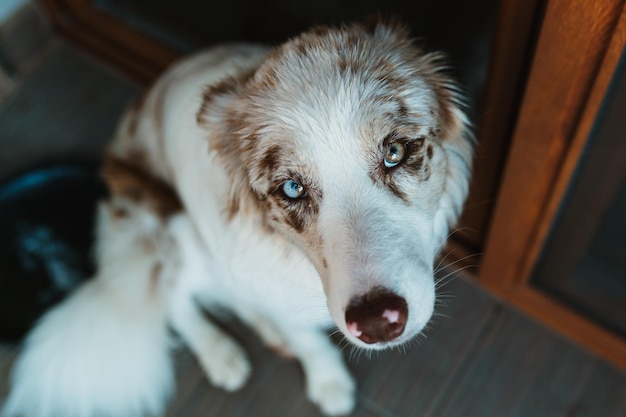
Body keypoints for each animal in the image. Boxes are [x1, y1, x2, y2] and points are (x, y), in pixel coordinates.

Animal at [1, 18, 472, 416]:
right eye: (292, 188)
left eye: (394, 152)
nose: (377, 322)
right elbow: (306, 340)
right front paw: (328, 383)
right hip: (174, 227)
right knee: (173, 295)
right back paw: (218, 351)